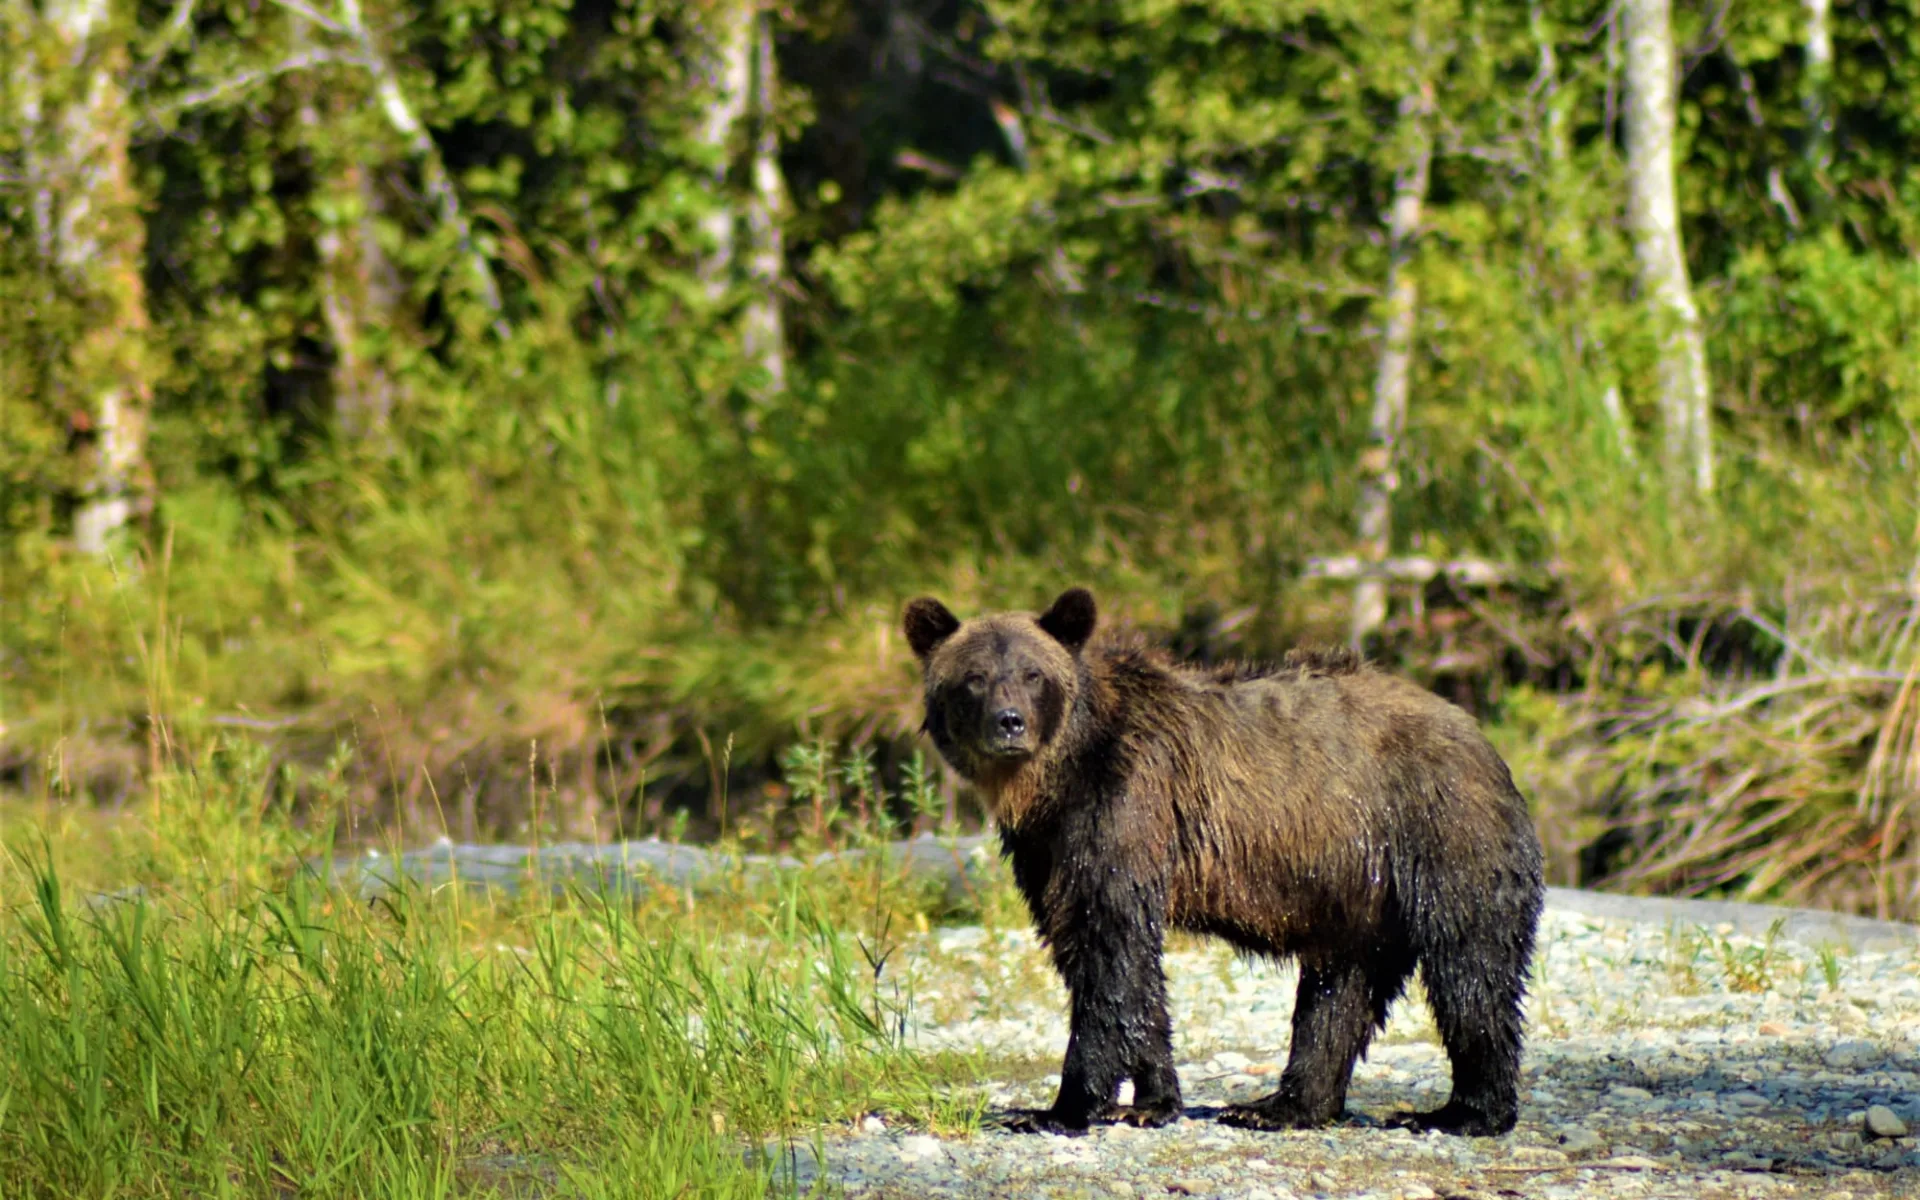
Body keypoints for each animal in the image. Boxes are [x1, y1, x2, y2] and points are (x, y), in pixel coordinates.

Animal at [898, 587, 1543, 1128]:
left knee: (1470, 967)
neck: (1056, 777)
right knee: (1339, 990)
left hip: (1440, 832)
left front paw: (1061, 1107)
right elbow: (1104, 957)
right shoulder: (1047, 847)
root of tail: (1480, 737)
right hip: (1358, 889)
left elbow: (1109, 950)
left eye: (1032, 674)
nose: (1009, 723)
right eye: (974, 678)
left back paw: (1464, 1112)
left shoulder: (1125, 809)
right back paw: (1281, 1106)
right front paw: (1152, 1099)